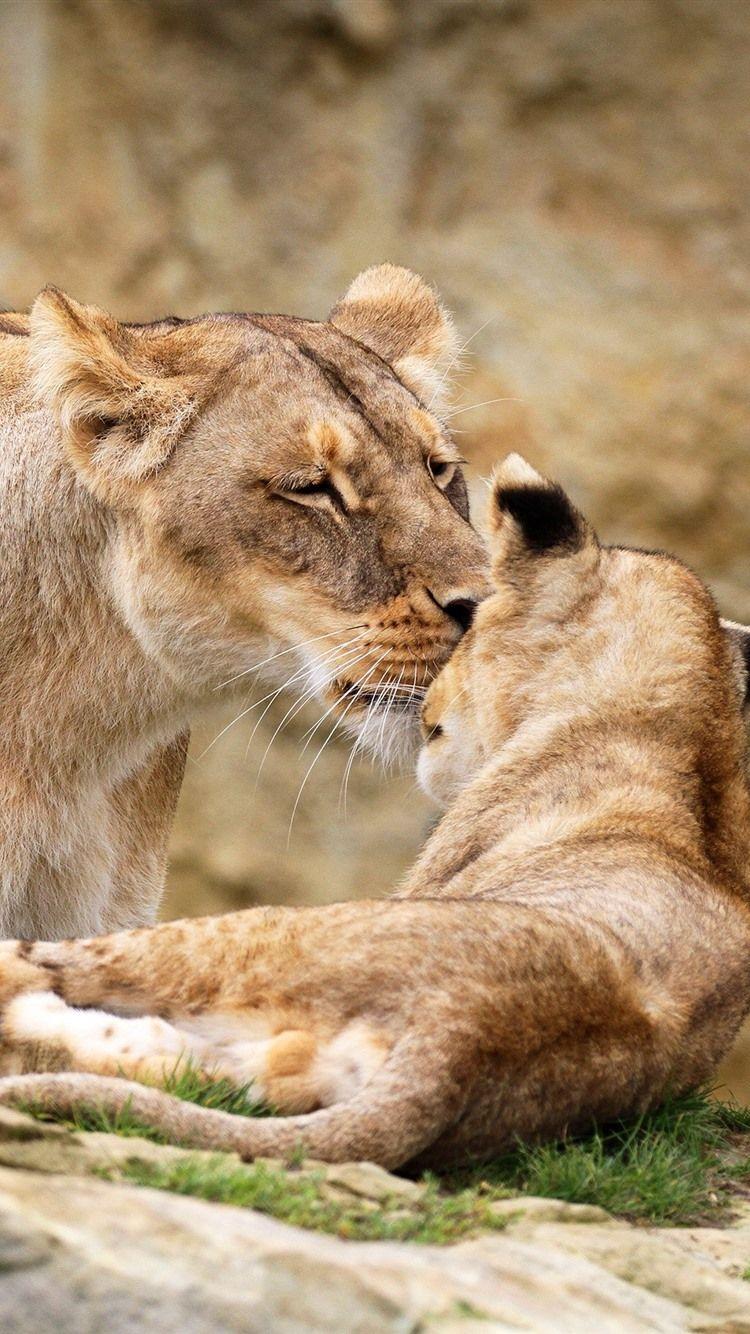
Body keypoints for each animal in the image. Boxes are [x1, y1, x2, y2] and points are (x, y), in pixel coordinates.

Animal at [0, 455, 748, 1171]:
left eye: (473, 628)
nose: (428, 700)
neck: (682, 732)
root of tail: (469, 1033)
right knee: (184, 1065)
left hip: (276, 933)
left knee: (66, 964)